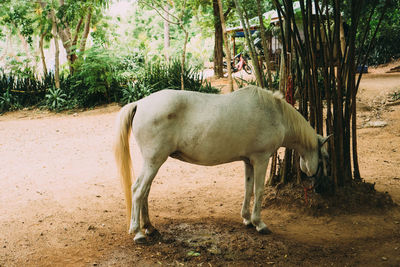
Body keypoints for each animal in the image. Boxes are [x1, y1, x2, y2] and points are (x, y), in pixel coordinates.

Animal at [113, 86, 332, 245]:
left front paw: (247, 219)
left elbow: (248, 188)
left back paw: (149, 227)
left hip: (153, 162)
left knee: (145, 191)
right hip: (154, 161)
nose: (320, 187)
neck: (274, 113)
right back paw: (138, 233)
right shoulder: (261, 159)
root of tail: (140, 104)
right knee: (138, 190)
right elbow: (259, 190)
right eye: (324, 157)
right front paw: (259, 223)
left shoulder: (249, 161)